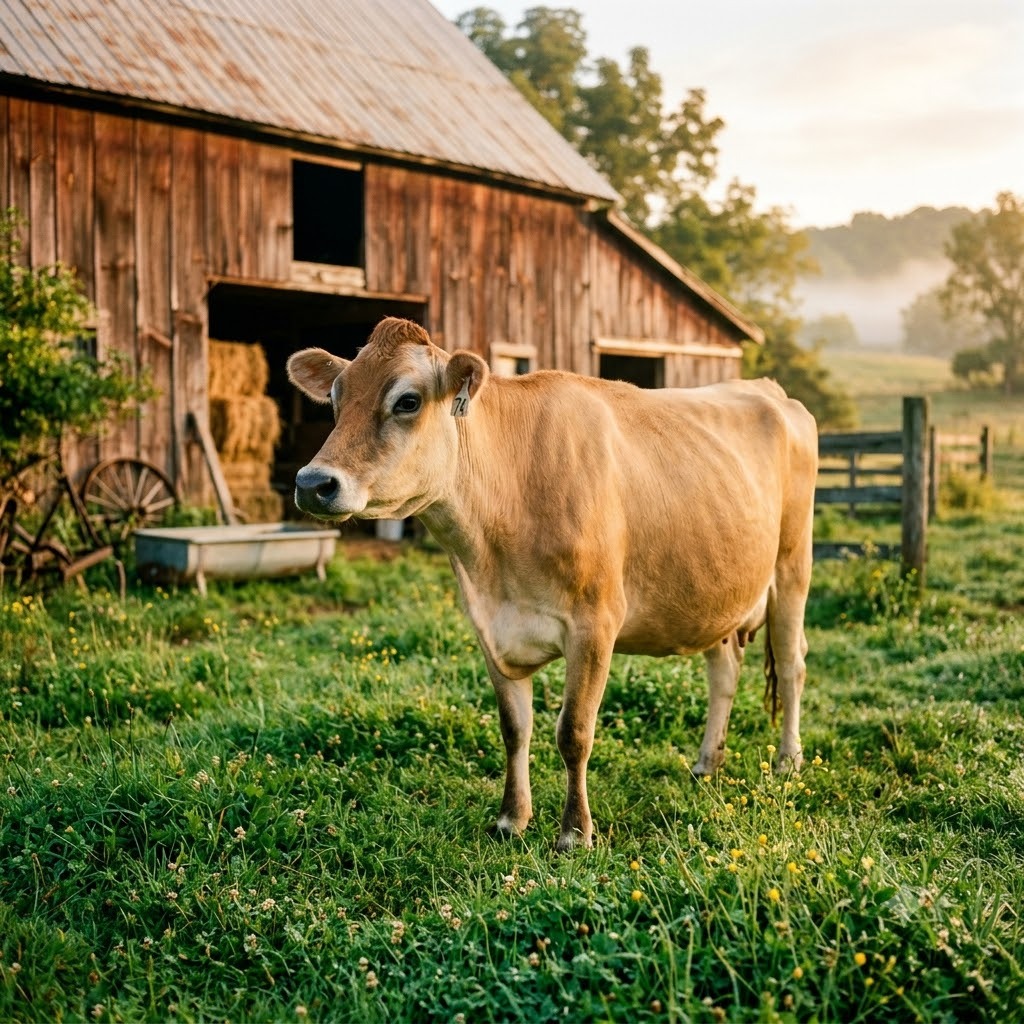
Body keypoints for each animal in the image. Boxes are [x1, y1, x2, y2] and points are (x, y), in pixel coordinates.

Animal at [287, 317, 818, 850]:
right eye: (334, 397)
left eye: (408, 401)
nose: (313, 483)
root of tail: (768, 389)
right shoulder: (489, 626)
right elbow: (514, 728)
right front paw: (511, 818)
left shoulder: (595, 625)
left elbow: (574, 732)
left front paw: (575, 833)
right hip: (716, 594)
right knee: (723, 671)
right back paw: (707, 763)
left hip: (792, 566)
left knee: (792, 663)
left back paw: (788, 760)